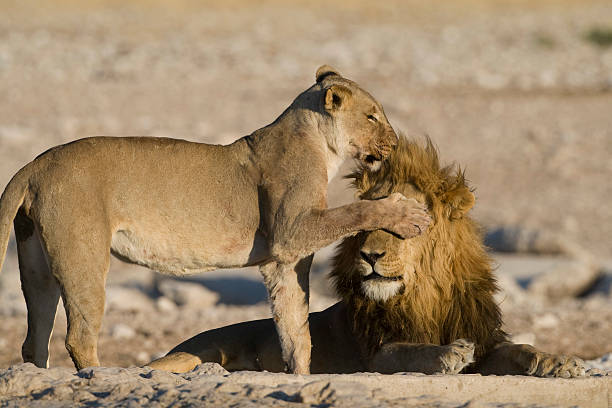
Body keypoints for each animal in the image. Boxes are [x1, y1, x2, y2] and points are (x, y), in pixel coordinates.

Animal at [0, 66, 430, 372]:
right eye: (372, 116)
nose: (394, 143)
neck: (319, 144)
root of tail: (35, 164)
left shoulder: (284, 261)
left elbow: (296, 334)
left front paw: (300, 375)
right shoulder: (291, 230)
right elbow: (356, 210)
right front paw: (408, 213)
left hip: (36, 262)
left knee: (35, 338)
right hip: (84, 255)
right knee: (79, 336)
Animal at [149, 137, 588, 380]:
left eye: (409, 221)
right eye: (366, 222)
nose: (370, 254)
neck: (425, 297)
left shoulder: (484, 338)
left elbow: (520, 349)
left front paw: (560, 362)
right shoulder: (374, 352)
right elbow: (410, 351)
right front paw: (448, 354)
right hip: (192, 355)